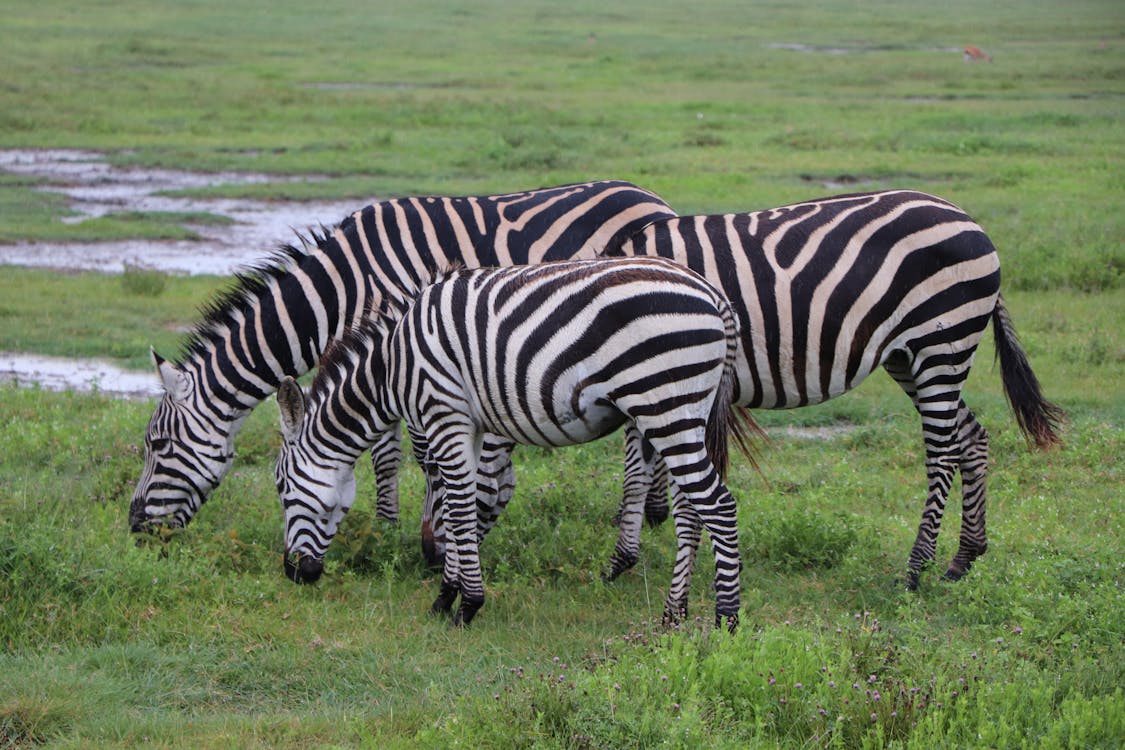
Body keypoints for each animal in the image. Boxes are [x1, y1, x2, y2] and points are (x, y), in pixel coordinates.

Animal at [131, 179, 675, 532]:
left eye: (157, 444)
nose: (136, 527)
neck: (340, 291)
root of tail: (650, 195)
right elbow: (385, 451)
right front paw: (388, 524)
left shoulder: (411, 348)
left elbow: (411, 452)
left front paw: (417, 531)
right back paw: (653, 514)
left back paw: (649, 516)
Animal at [270, 256, 756, 629]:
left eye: (281, 488)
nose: (293, 574)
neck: (391, 367)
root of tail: (714, 295)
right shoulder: (468, 424)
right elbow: (459, 506)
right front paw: (447, 595)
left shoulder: (443, 412)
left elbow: (459, 510)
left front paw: (467, 605)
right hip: (684, 412)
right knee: (691, 511)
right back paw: (674, 615)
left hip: (664, 403)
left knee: (718, 505)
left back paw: (726, 620)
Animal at [598, 191, 1062, 589]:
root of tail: (967, 218)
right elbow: (641, 470)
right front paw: (629, 553)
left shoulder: (655, 376)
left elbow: (645, 471)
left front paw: (630, 556)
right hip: (909, 357)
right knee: (971, 435)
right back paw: (965, 556)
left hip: (941, 343)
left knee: (943, 453)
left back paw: (915, 569)